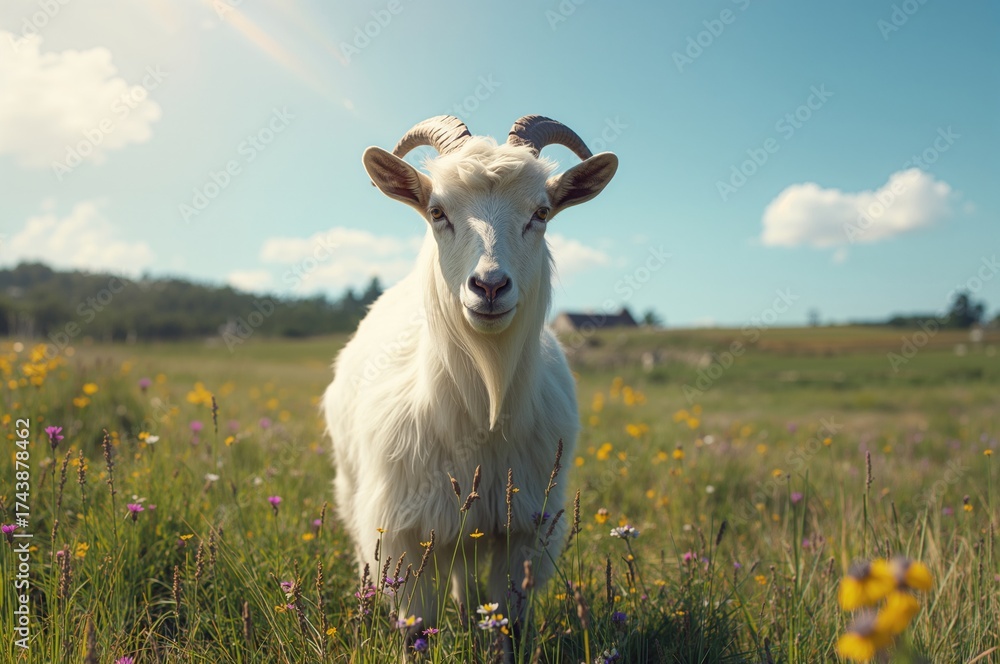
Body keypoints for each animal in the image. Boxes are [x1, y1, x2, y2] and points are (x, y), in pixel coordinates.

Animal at [322, 115, 618, 641]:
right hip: (357, 492)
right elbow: (416, 626)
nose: (490, 286)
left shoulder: (522, 530)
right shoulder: (404, 532)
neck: (484, 411)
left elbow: (508, 624)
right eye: (437, 211)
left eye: (542, 212)